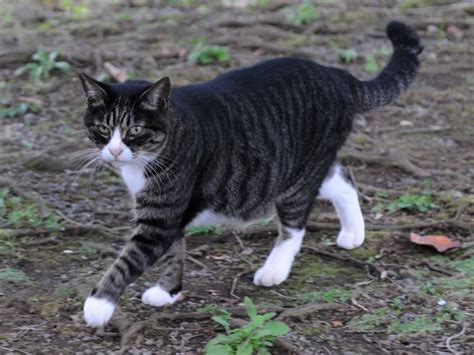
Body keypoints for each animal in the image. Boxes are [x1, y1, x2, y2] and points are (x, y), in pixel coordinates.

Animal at [78, 21, 422, 328]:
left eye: (135, 130)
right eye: (103, 129)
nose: (115, 151)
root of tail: (339, 76)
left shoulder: (162, 215)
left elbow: (130, 259)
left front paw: (97, 306)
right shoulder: (166, 212)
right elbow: (174, 252)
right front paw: (168, 291)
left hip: (299, 174)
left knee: (295, 225)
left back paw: (275, 270)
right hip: (302, 167)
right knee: (342, 179)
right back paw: (353, 233)